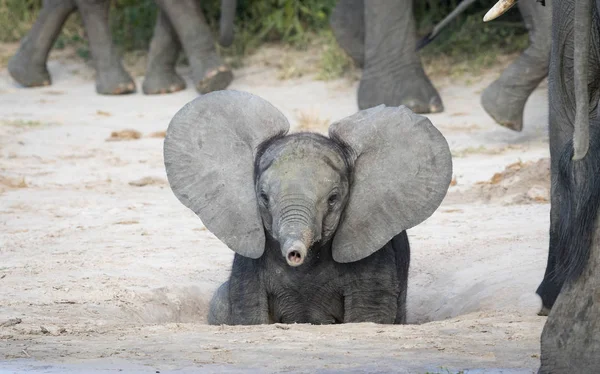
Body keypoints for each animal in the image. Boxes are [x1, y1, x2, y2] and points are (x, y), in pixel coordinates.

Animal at [162, 90, 452, 324]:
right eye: (263, 197)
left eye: (333, 198)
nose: (294, 254)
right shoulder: (247, 269)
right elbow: (250, 312)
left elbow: (368, 314)